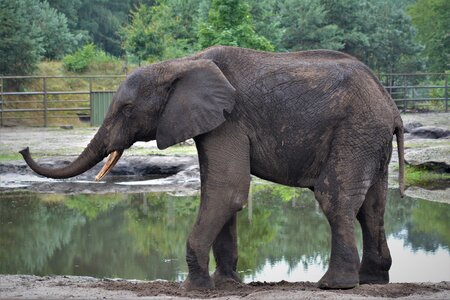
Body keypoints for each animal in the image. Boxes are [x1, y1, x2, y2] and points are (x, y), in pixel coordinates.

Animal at [20, 45, 404, 290]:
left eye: (127, 109)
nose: (23, 147)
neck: (179, 65)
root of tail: (392, 105)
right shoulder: (214, 121)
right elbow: (221, 193)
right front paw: (226, 284)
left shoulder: (229, 120)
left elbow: (226, 190)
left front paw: (194, 288)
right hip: (369, 137)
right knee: (372, 207)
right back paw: (371, 280)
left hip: (356, 130)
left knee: (334, 198)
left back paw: (334, 285)